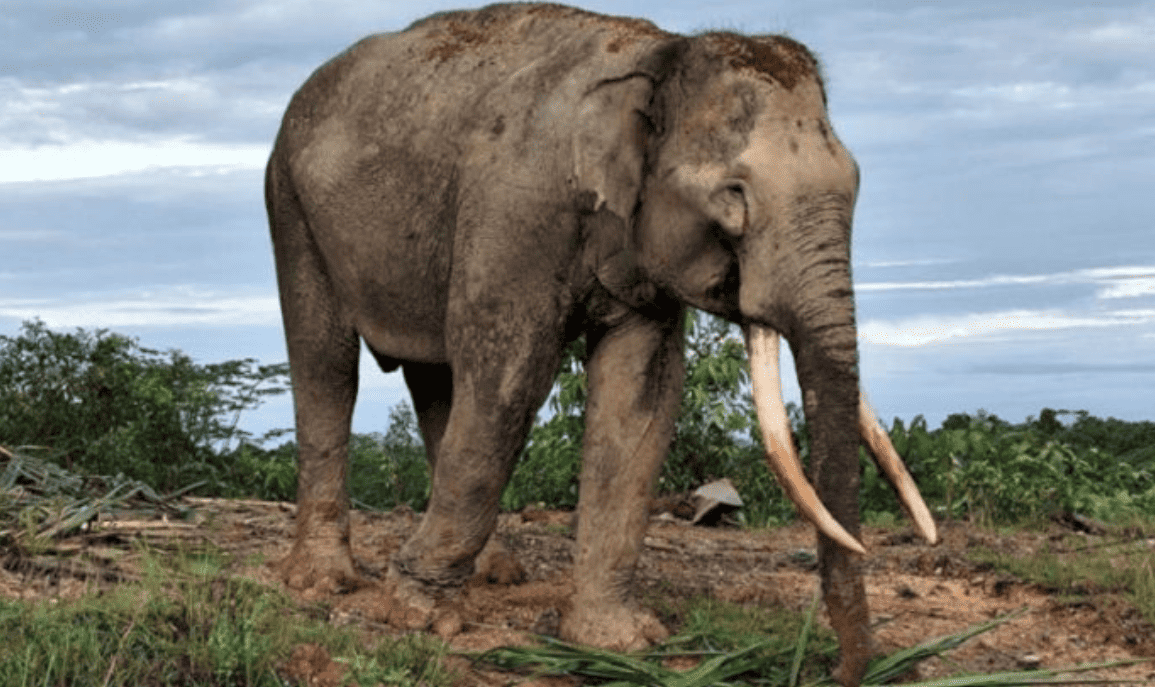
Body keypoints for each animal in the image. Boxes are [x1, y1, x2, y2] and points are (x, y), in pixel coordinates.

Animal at [265, 4, 936, 685]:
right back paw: (324, 582)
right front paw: (416, 616)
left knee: (436, 380)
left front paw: (617, 642)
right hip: (288, 201)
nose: (844, 670)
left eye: (856, 182)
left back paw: (494, 573)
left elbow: (642, 398)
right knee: (328, 365)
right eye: (733, 197)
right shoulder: (517, 210)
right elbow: (510, 378)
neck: (661, 54)